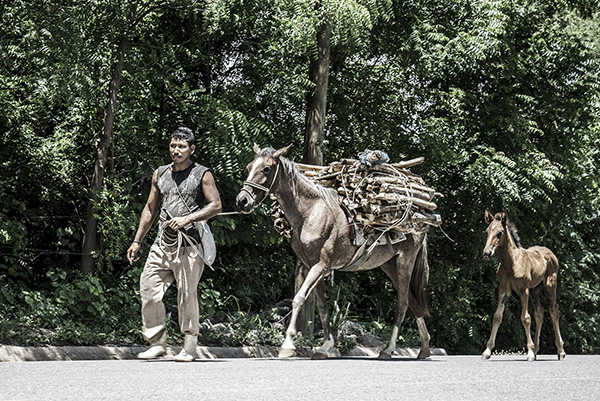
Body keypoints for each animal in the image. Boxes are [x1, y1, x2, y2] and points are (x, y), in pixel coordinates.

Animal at [234, 144, 432, 360]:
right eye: (249, 166)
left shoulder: (320, 265)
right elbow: (322, 307)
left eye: (266, 169)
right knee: (413, 302)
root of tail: (421, 219)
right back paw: (424, 348)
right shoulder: (312, 266)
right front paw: (324, 347)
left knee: (403, 304)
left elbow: (298, 299)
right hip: (389, 265)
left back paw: (389, 349)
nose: (242, 200)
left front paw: (288, 344)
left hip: (405, 261)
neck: (311, 212)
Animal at [480, 208, 564, 360]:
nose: (487, 253)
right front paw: (487, 351)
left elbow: (525, 318)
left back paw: (560, 351)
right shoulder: (504, 290)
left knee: (554, 311)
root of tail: (552, 253)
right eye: (486, 231)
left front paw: (529, 352)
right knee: (539, 312)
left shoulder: (523, 290)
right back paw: (536, 350)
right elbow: (497, 317)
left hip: (549, 286)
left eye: (499, 232)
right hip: (535, 289)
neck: (511, 263)